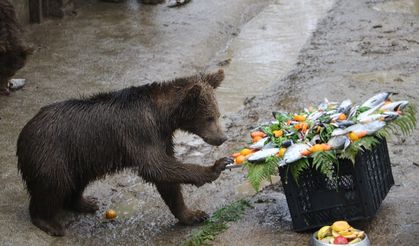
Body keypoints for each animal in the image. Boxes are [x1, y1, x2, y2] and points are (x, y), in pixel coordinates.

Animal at [17, 68, 233, 236]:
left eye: (217, 114)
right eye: (209, 117)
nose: (222, 137)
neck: (162, 115)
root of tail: (24, 133)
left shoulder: (161, 137)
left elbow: (167, 180)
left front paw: (193, 215)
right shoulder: (140, 131)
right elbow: (156, 168)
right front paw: (217, 166)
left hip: (80, 156)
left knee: (77, 180)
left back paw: (86, 202)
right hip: (51, 152)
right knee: (53, 183)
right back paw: (50, 223)